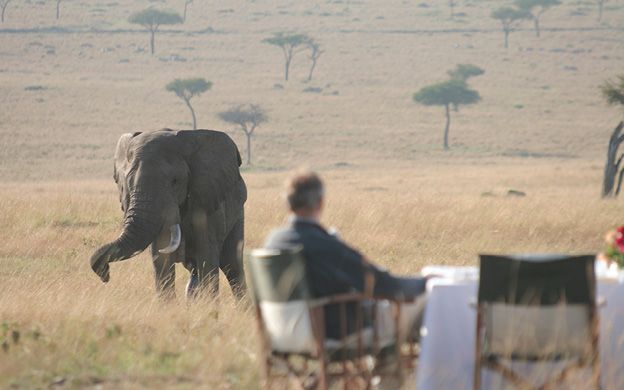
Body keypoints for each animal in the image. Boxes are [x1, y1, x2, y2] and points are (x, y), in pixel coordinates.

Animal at [90, 128, 246, 298]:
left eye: (175, 181)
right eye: (128, 182)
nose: (105, 275)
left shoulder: (208, 199)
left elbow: (207, 254)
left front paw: (208, 305)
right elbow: (162, 258)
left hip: (238, 213)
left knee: (232, 264)